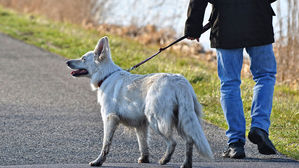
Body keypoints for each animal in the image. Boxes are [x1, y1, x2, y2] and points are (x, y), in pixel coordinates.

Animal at [67, 36, 214, 167]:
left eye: (83, 59)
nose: (67, 62)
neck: (106, 75)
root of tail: (179, 81)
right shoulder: (141, 124)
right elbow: (143, 144)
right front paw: (144, 159)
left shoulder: (110, 119)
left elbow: (106, 144)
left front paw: (98, 161)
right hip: (181, 119)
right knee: (190, 140)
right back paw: (186, 164)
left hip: (156, 120)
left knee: (173, 142)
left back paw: (164, 160)